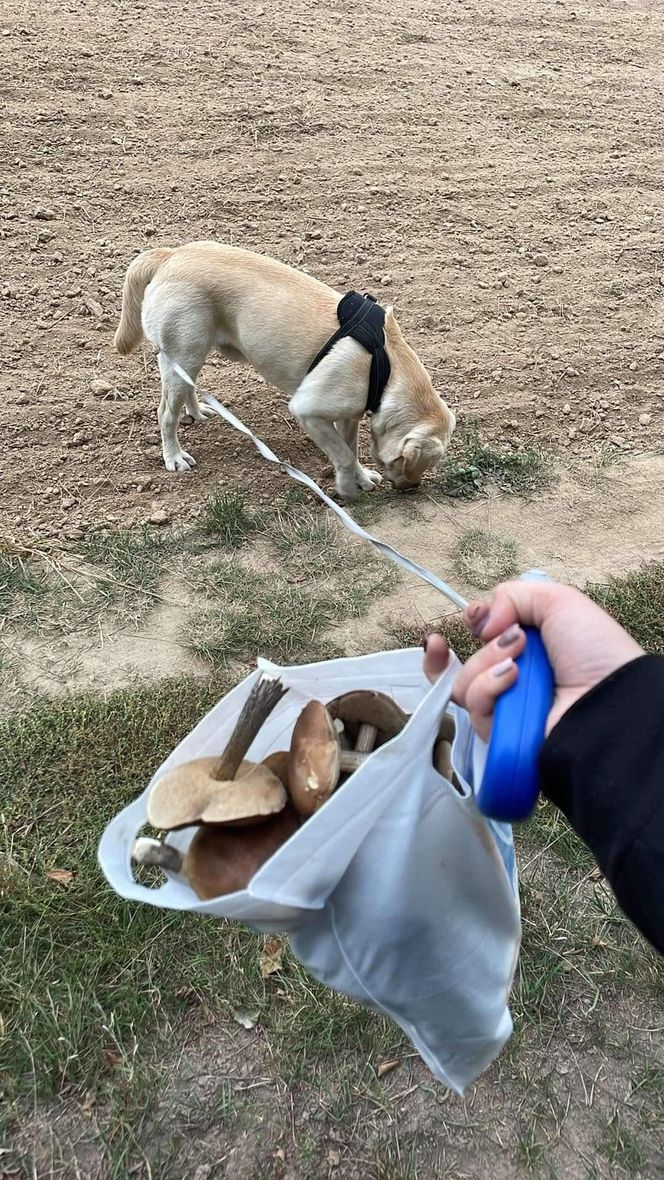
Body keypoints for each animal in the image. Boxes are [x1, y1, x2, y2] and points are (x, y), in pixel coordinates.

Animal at [114, 239, 457, 497]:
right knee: (165, 414)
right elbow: (345, 456)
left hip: (190, 357)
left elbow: (351, 448)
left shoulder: (350, 416)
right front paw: (347, 488)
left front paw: (362, 479)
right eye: (416, 464)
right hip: (182, 354)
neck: (385, 368)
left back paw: (197, 413)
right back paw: (174, 457)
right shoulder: (308, 411)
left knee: (188, 390)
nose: (412, 487)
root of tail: (170, 255)